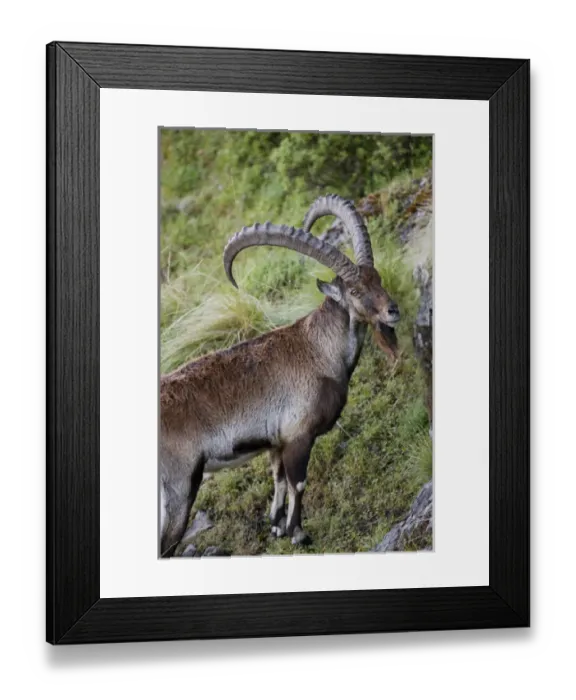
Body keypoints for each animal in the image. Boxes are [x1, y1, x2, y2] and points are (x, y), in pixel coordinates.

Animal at [159, 195, 401, 557]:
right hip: (179, 488)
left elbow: (278, 479)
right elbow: (298, 481)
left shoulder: (276, 440)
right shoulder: (299, 435)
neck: (317, 350)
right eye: (356, 291)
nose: (392, 311)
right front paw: (298, 533)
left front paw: (276, 526)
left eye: (378, 278)